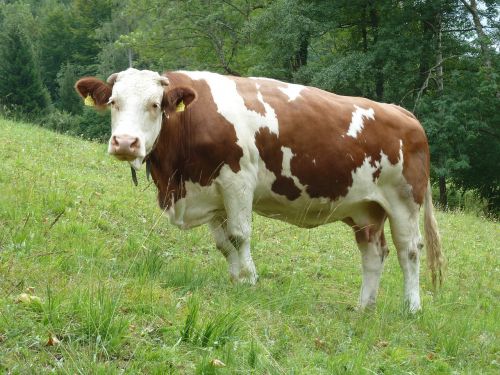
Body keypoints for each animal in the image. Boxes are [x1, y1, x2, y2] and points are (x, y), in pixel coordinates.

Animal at [75, 68, 446, 314]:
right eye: (113, 102)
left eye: (154, 104)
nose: (125, 143)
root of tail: (402, 111)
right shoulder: (212, 194)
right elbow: (223, 244)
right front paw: (236, 279)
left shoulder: (237, 180)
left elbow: (240, 235)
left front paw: (250, 280)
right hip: (366, 209)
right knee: (373, 253)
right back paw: (363, 306)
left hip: (404, 201)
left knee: (409, 251)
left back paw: (412, 308)